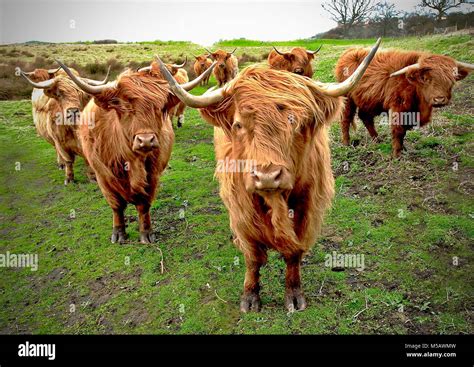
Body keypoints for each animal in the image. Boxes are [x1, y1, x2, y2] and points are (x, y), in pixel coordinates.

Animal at [57, 59, 215, 244]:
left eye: (160, 107)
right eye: (124, 106)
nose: (145, 140)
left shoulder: (152, 176)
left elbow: (144, 205)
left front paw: (146, 233)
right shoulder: (103, 177)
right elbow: (116, 206)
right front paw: (119, 233)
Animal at [157, 38, 380, 312]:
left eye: (296, 122)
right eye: (238, 124)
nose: (266, 176)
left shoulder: (307, 209)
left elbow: (294, 253)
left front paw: (294, 295)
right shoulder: (242, 209)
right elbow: (253, 257)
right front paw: (250, 297)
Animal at [336, 47, 472, 157]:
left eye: (451, 80)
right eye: (425, 78)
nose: (439, 99)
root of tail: (350, 51)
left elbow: (404, 132)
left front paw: (403, 149)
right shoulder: (398, 107)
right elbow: (398, 130)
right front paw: (397, 154)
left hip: (368, 100)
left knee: (365, 117)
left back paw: (377, 139)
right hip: (347, 97)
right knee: (346, 119)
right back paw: (346, 143)